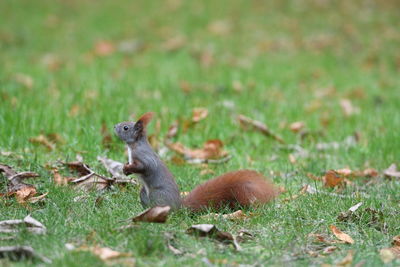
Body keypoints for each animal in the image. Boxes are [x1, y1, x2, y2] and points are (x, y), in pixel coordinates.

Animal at [113, 112, 278, 213]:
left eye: (125, 127)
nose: (114, 126)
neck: (133, 146)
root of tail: (178, 208)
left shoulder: (144, 157)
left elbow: (144, 167)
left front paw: (128, 169)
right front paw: (125, 168)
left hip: (157, 195)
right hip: (144, 193)